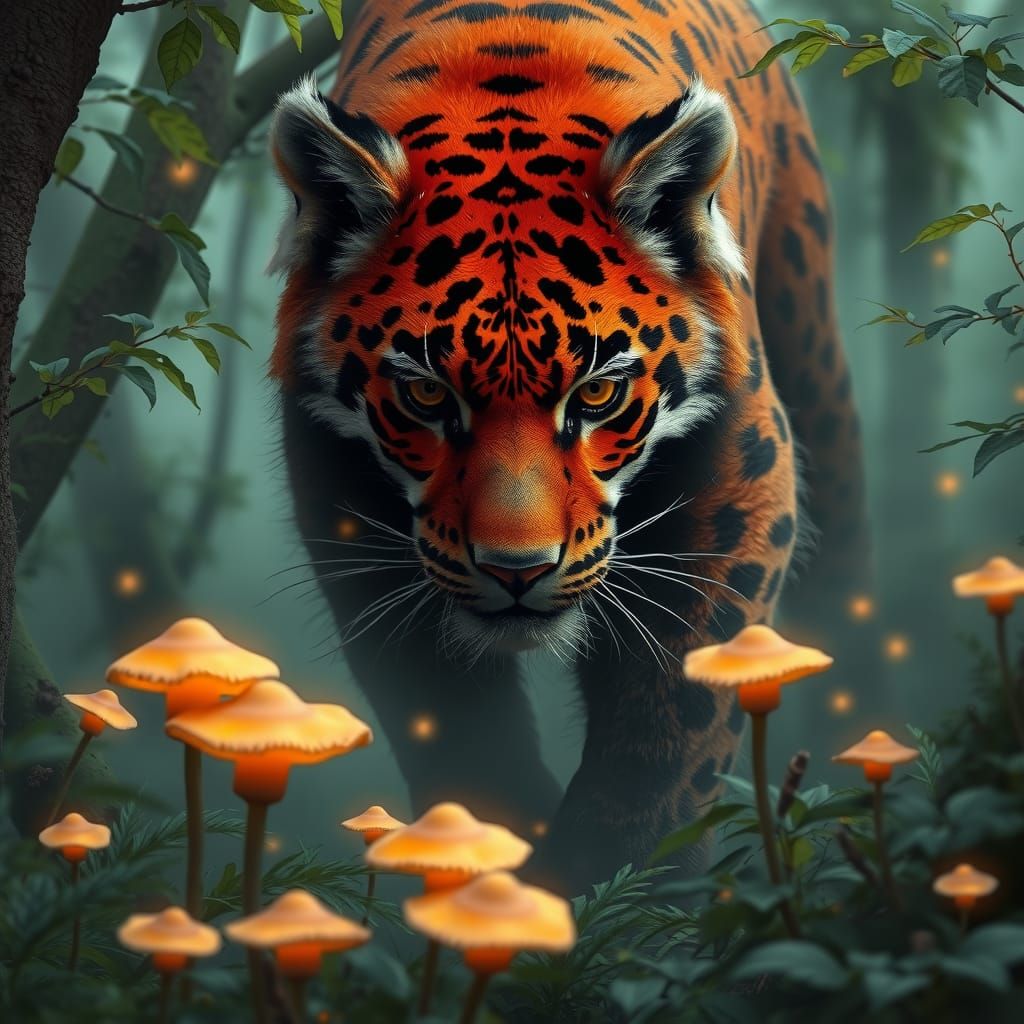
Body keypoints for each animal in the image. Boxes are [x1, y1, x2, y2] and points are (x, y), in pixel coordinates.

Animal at [268, 0, 868, 895]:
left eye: (596, 395)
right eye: (425, 395)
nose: (517, 571)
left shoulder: (744, 487)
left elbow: (675, 724)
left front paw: (614, 881)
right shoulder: (342, 511)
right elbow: (451, 724)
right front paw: (492, 863)